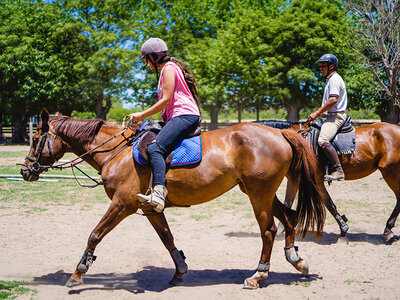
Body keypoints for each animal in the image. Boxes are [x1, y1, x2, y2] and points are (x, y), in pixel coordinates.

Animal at [18, 109, 326, 290]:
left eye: (35, 139)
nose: (25, 170)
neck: (116, 152)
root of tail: (281, 132)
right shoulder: (150, 208)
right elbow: (167, 238)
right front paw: (180, 270)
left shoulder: (122, 204)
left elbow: (95, 234)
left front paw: (78, 272)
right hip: (258, 191)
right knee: (289, 218)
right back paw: (297, 260)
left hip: (259, 193)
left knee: (269, 230)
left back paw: (258, 275)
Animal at [258, 118, 400, 243]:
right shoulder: (294, 179)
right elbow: (288, 202)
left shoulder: (316, 180)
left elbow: (329, 204)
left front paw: (343, 231)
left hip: (390, 172)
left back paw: (388, 231)